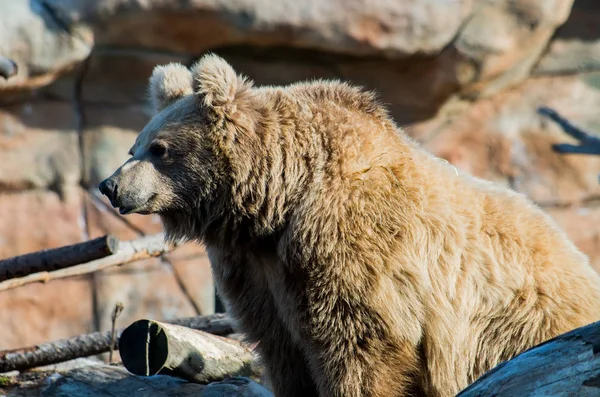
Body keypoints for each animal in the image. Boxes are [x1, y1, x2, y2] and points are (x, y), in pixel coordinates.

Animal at [97, 53, 600, 396]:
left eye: (158, 148)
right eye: (134, 147)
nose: (109, 186)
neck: (275, 204)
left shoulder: (348, 245)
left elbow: (359, 345)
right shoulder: (259, 271)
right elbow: (282, 347)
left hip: (516, 324)